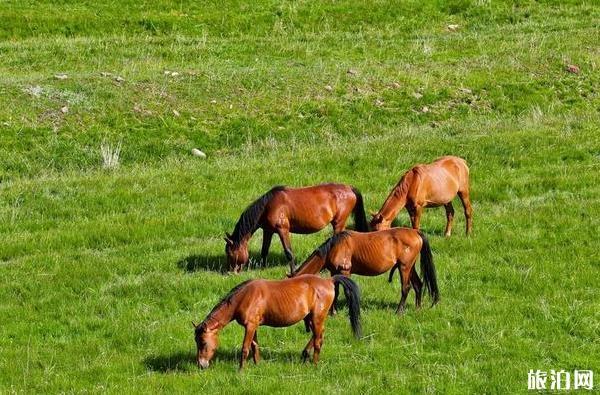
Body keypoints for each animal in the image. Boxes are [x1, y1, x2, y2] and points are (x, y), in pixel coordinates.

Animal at [192, 274, 360, 370]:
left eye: (203, 343)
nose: (201, 365)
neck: (245, 297)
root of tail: (328, 280)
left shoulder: (250, 326)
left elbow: (245, 348)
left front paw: (241, 370)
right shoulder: (254, 326)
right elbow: (254, 345)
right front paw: (257, 364)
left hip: (316, 317)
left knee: (318, 340)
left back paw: (314, 364)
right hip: (312, 318)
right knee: (319, 335)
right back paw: (305, 355)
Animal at [224, 183, 368, 274]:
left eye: (230, 253)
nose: (231, 272)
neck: (268, 205)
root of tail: (350, 188)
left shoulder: (282, 229)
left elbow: (288, 252)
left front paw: (293, 271)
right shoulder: (268, 231)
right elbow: (264, 250)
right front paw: (263, 268)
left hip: (339, 223)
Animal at [292, 229, 438, 316]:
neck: (334, 247)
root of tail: (416, 232)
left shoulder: (345, 271)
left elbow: (346, 292)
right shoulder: (334, 272)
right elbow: (335, 291)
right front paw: (333, 312)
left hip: (404, 267)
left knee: (406, 288)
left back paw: (399, 311)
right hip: (410, 267)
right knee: (418, 285)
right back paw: (418, 308)